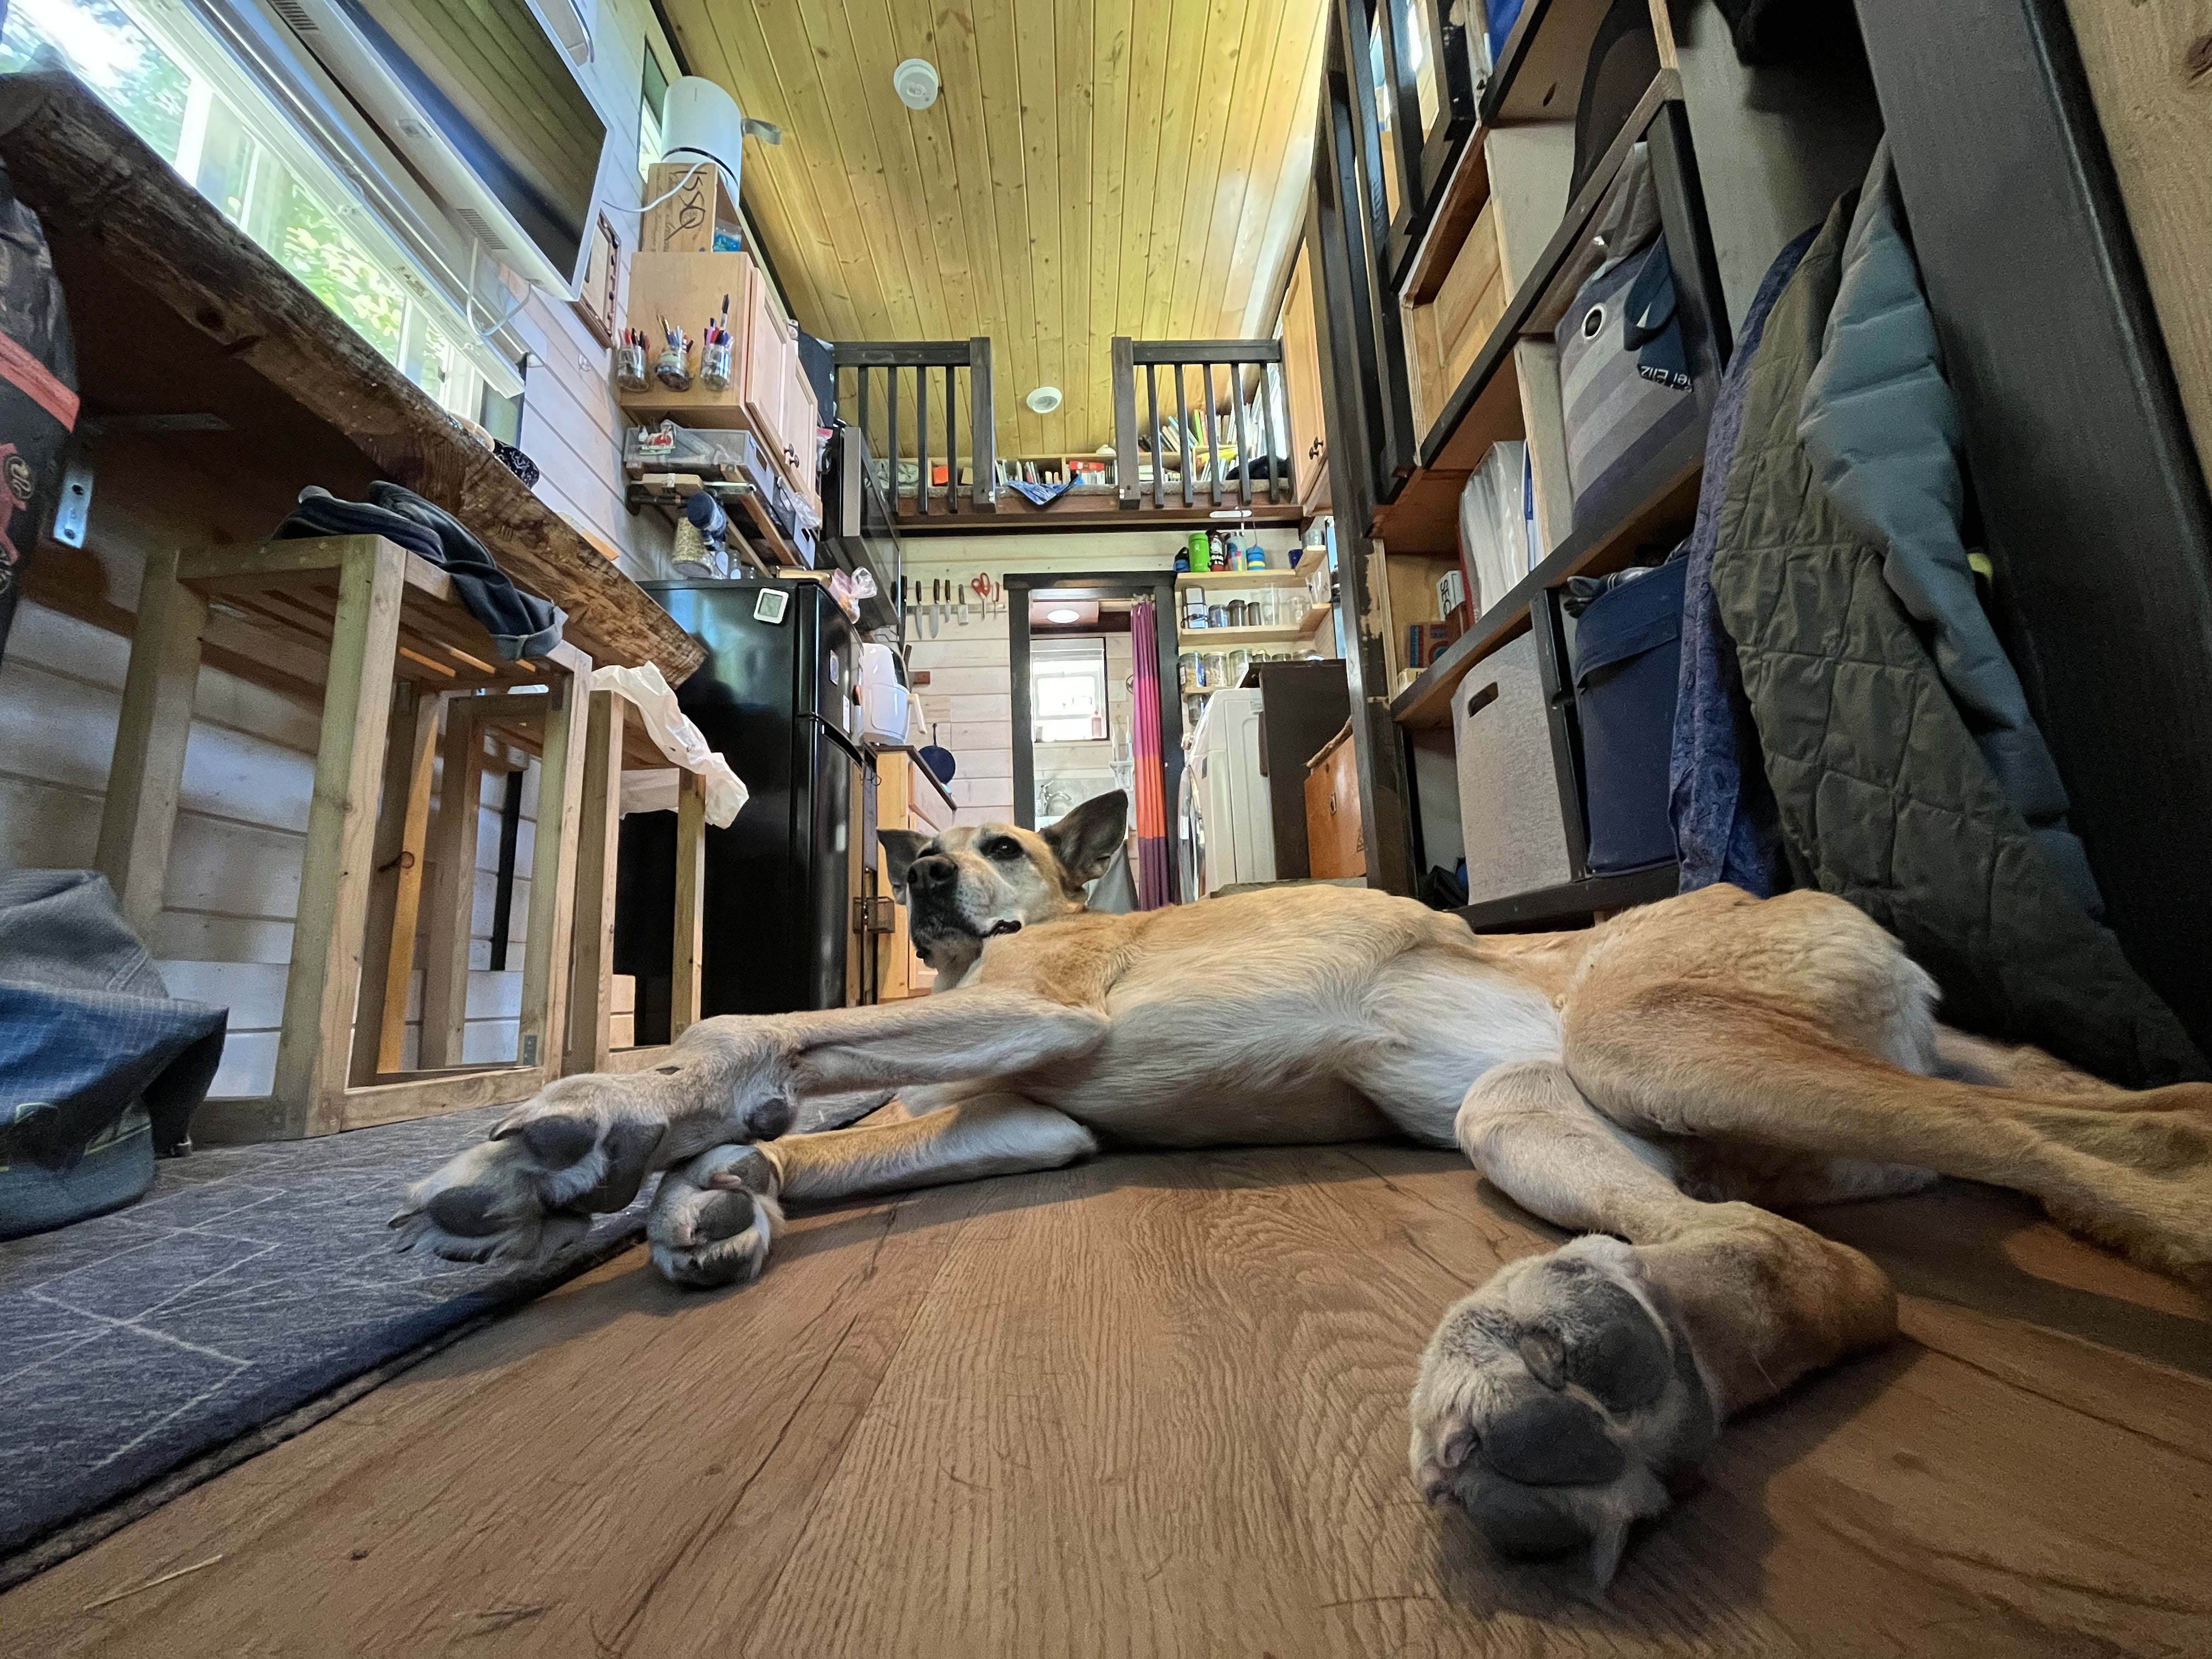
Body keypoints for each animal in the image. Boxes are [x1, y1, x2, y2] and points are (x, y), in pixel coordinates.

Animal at [393, 792, 2212, 1583]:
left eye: (997, 845)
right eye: (932, 846)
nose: (910, 870)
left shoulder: (1041, 1018)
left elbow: (757, 1029)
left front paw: (589, 1128)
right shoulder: (1025, 1119)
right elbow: (834, 1121)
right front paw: (703, 1187)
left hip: (1656, 1032)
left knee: (2100, 1165)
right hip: (1524, 1109)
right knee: (1816, 1264)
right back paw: (1580, 1373)